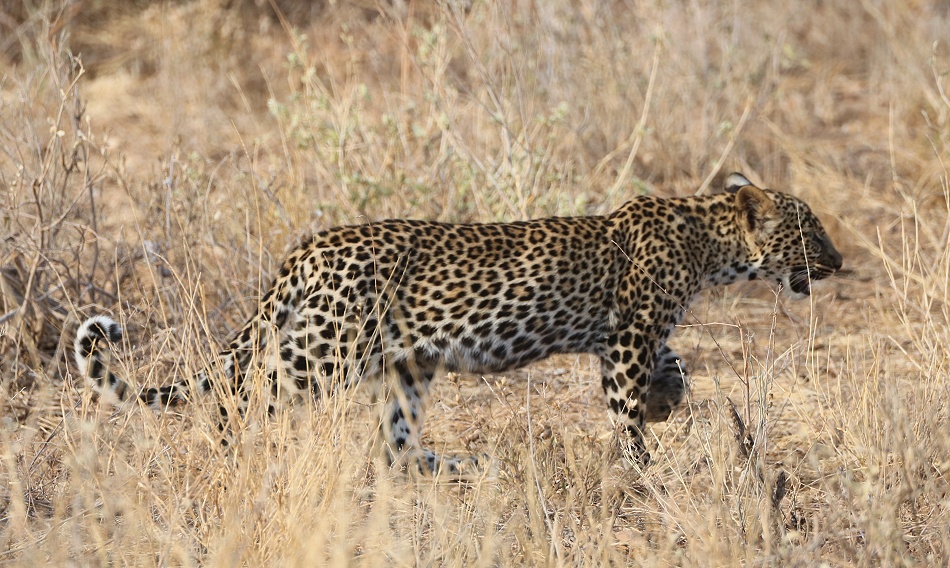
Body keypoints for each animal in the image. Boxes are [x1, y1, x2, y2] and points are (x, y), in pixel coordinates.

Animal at [74, 172, 842, 476]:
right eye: (811, 230)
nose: (840, 261)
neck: (710, 244)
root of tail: (309, 246)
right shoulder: (627, 336)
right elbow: (625, 409)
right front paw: (643, 466)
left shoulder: (632, 336)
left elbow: (673, 366)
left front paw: (665, 403)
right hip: (326, 348)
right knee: (241, 397)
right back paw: (232, 456)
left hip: (405, 364)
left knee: (392, 443)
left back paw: (452, 466)